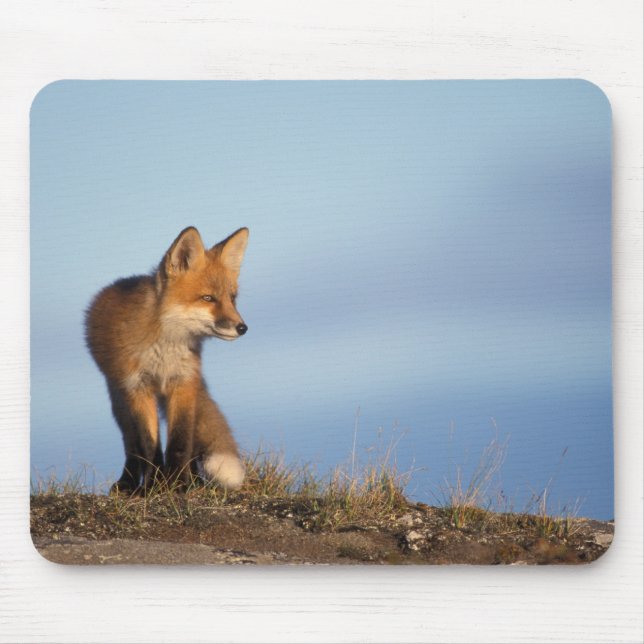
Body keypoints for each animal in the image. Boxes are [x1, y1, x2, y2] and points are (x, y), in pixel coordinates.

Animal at [85, 226, 249, 494]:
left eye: (232, 298)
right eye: (208, 298)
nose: (242, 328)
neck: (165, 349)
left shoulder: (183, 382)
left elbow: (180, 443)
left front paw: (179, 484)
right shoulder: (138, 388)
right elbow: (149, 445)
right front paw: (154, 487)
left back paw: (194, 480)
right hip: (119, 399)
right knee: (132, 446)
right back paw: (129, 483)